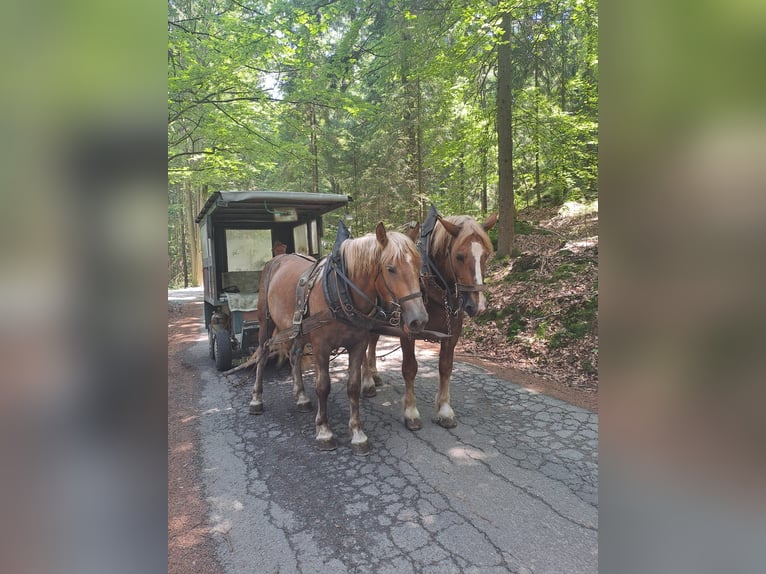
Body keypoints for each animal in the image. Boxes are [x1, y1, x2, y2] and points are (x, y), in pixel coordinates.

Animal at [249, 223, 426, 456]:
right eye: (390, 268)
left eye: (418, 266)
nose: (419, 319)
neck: (341, 291)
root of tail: (276, 258)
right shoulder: (321, 347)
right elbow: (323, 386)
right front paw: (324, 431)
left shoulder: (358, 345)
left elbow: (353, 386)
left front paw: (357, 434)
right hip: (265, 321)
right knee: (262, 354)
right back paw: (256, 399)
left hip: (298, 330)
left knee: (294, 356)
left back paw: (301, 397)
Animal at [364, 212, 498, 432]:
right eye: (459, 256)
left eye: (486, 255)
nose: (477, 306)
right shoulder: (408, 331)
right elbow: (409, 368)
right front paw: (411, 412)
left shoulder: (452, 333)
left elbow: (445, 367)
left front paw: (444, 410)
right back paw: (367, 382)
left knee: (373, 344)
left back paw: (374, 375)